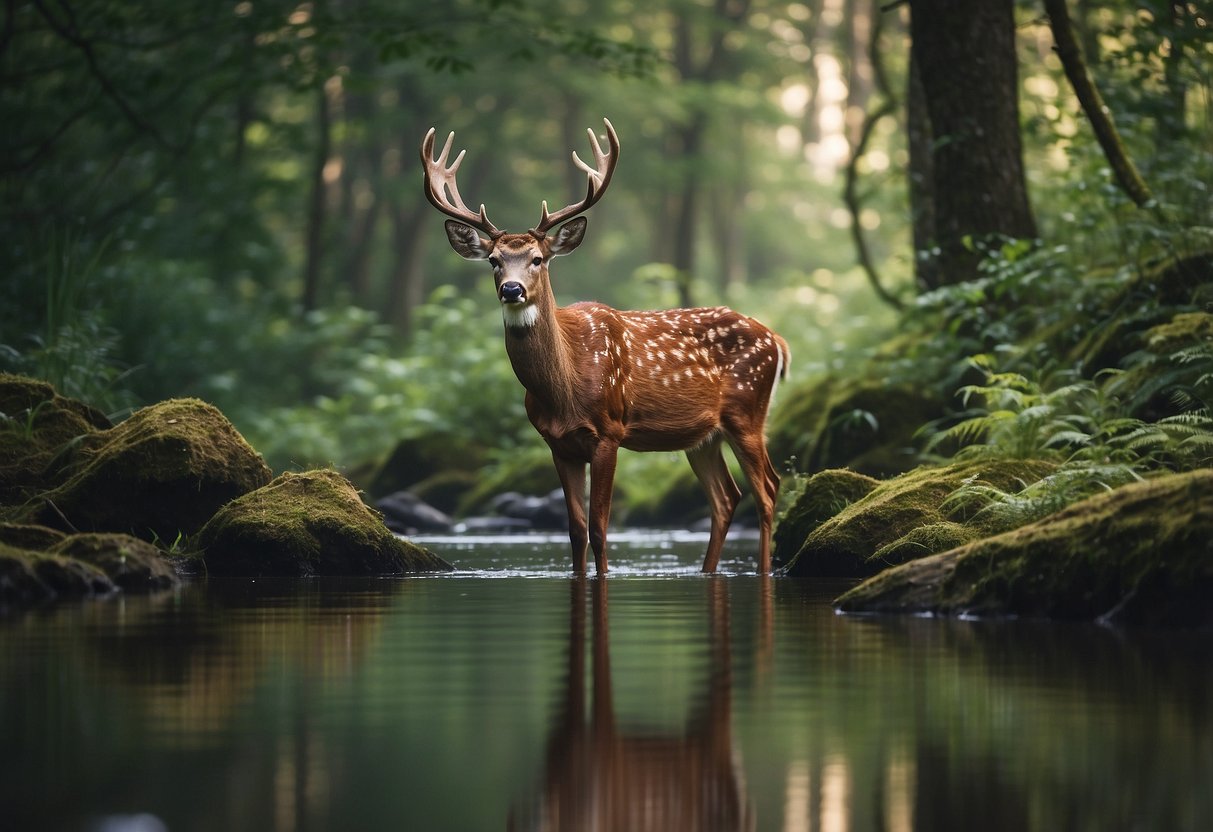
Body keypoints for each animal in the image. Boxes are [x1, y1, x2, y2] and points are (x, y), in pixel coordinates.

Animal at [422, 117, 790, 577]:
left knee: (768, 489)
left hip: (747, 411)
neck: (564, 387)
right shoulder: (557, 444)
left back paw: (762, 570)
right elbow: (575, 531)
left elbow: (600, 528)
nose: (511, 289)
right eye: (493, 260)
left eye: (538, 259)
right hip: (703, 436)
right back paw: (707, 570)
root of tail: (777, 340)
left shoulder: (609, 431)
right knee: (726, 497)